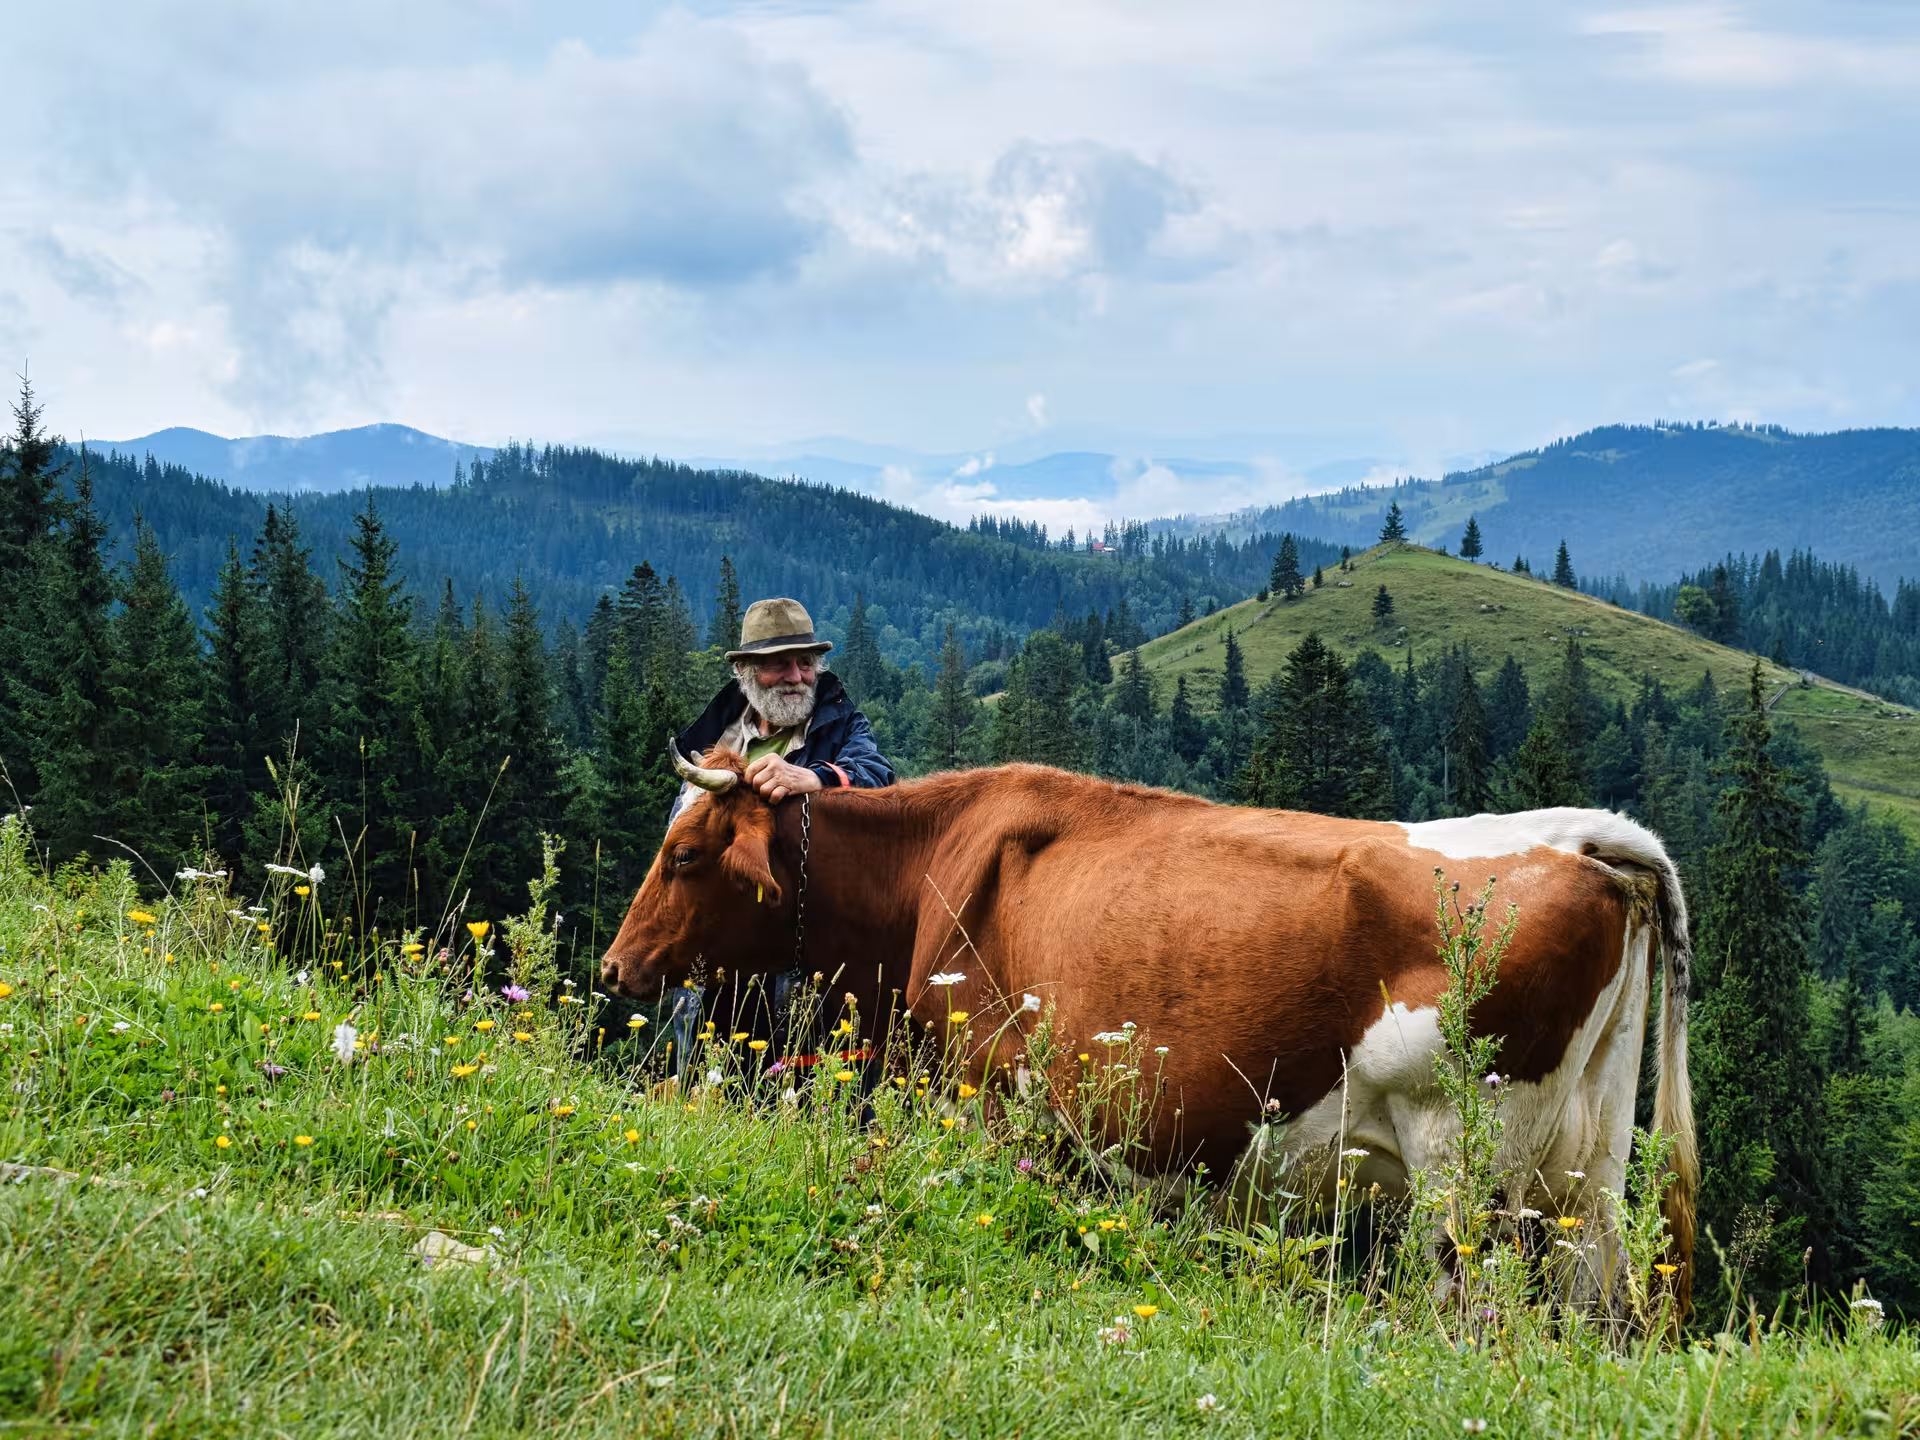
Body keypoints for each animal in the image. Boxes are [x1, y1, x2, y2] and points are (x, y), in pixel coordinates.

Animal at [599, 747, 1698, 1309]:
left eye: (687, 854)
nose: (615, 966)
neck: (935, 864)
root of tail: (1582, 838)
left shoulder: (993, 1095)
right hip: (1588, 1171)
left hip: (1461, 1157)